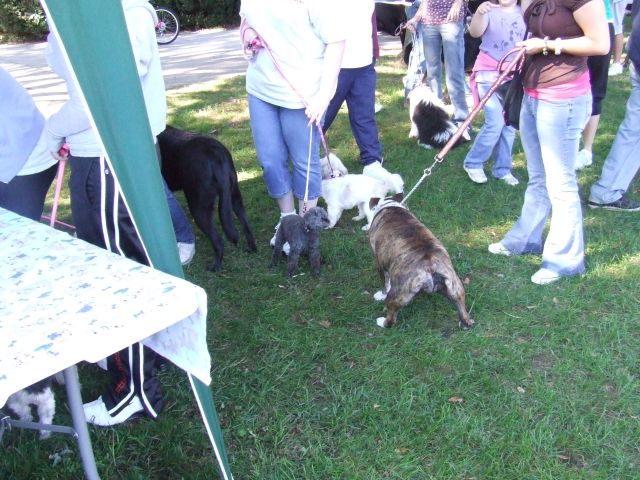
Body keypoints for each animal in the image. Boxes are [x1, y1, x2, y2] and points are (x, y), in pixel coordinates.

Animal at [158, 125, 257, 272]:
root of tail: (216, 156)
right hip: (234, 197)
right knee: (246, 225)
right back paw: (251, 248)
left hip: (198, 208)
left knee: (218, 241)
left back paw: (215, 267)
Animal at [368, 194, 474, 330]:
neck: (391, 206)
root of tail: (431, 268)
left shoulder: (380, 264)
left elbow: (385, 282)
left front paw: (380, 295)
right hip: (456, 287)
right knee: (462, 309)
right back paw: (465, 323)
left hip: (397, 294)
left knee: (391, 317)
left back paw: (382, 322)